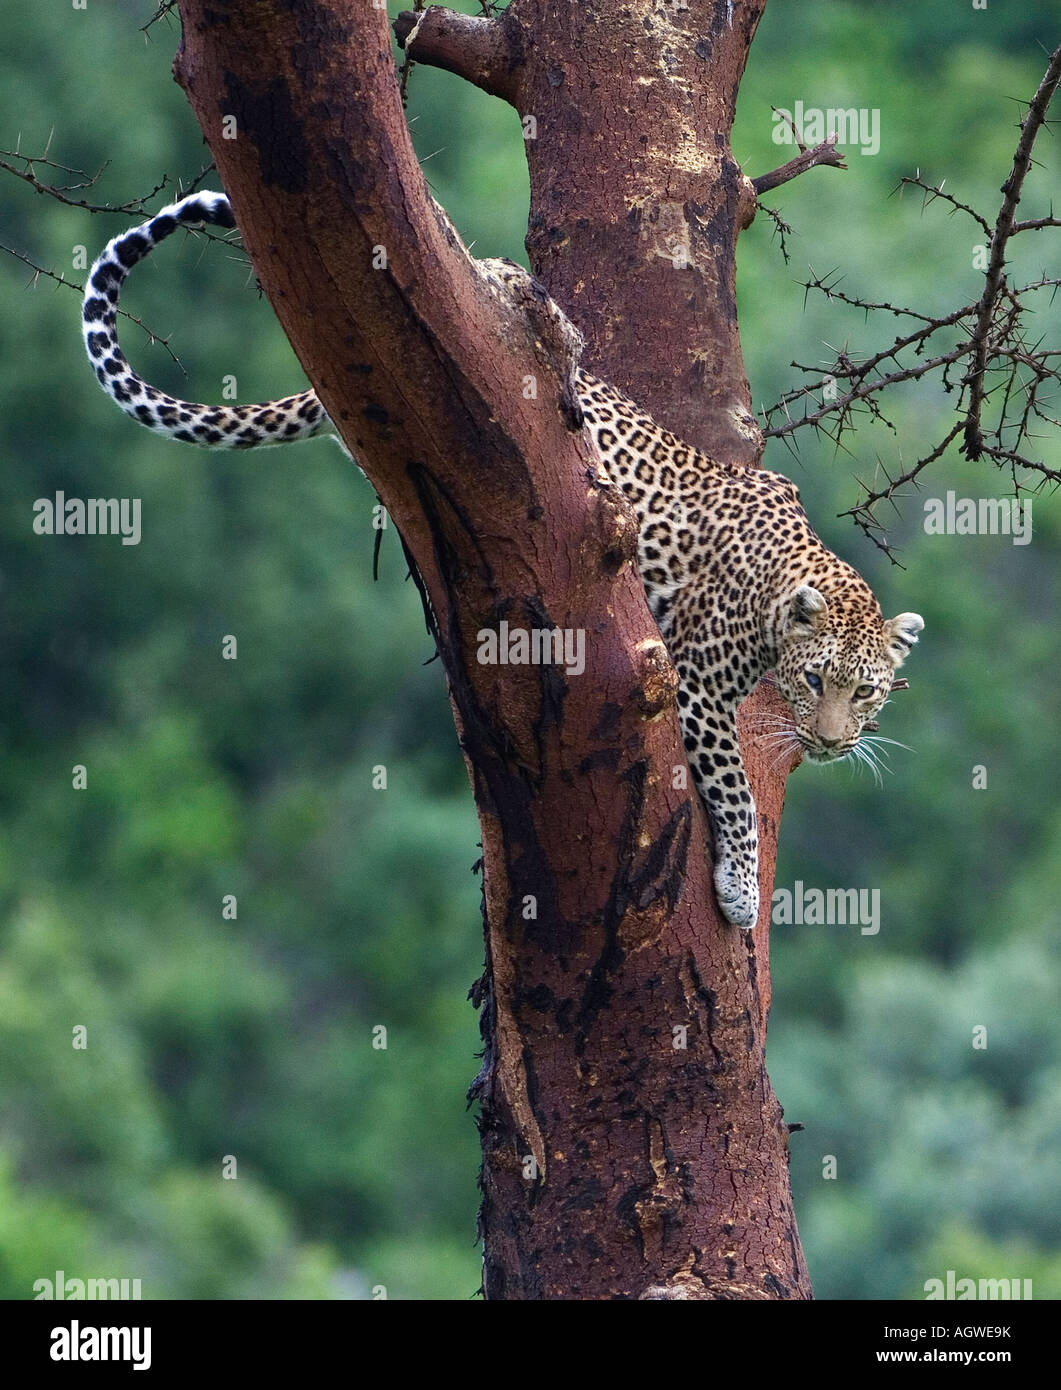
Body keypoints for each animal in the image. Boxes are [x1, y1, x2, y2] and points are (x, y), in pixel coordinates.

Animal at [82, 191, 923, 930]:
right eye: (815, 682)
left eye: (866, 691)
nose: (834, 743)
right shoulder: (697, 686)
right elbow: (736, 792)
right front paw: (742, 889)